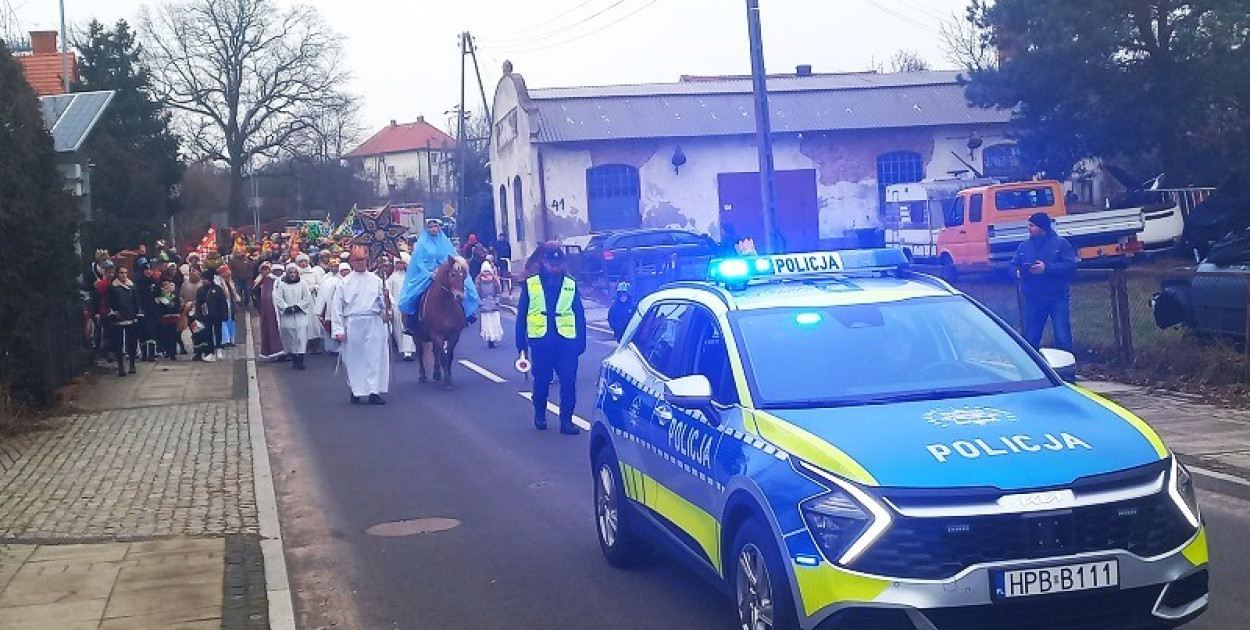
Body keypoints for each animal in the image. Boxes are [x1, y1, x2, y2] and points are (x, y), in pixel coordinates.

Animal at [415, 256, 470, 390]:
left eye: (465, 276)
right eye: (453, 274)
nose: (460, 297)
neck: (445, 306)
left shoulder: (454, 335)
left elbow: (449, 356)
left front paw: (448, 376)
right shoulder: (436, 334)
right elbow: (444, 357)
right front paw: (447, 381)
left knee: (435, 351)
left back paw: (437, 374)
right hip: (416, 335)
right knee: (420, 351)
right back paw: (423, 376)